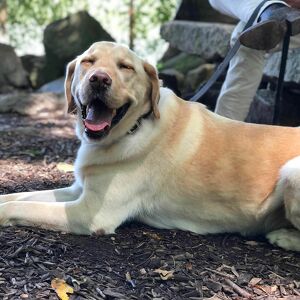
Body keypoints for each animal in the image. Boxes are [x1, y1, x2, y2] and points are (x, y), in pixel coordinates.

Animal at [0, 42, 300, 252]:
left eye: (126, 67)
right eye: (88, 61)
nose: (99, 79)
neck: (135, 127)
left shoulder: (89, 212)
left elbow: (22, 207)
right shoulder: (79, 190)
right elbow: (21, 197)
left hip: (292, 173)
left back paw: (284, 237)